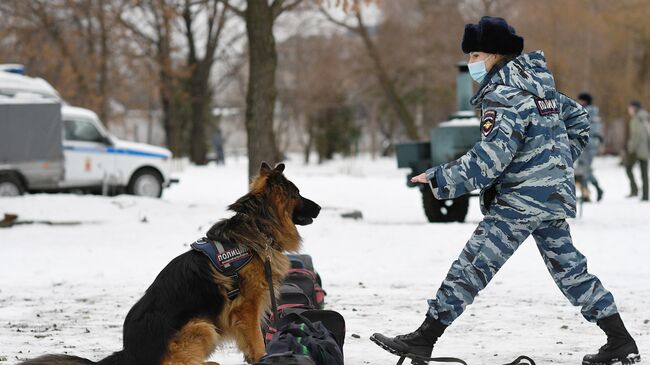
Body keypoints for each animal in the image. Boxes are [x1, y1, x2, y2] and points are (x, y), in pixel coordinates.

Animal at [21, 163, 320, 364]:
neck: (257, 226)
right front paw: (262, 357)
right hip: (202, 326)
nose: (319, 208)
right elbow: (257, 341)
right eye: (298, 194)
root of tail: (128, 354)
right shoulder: (246, 307)